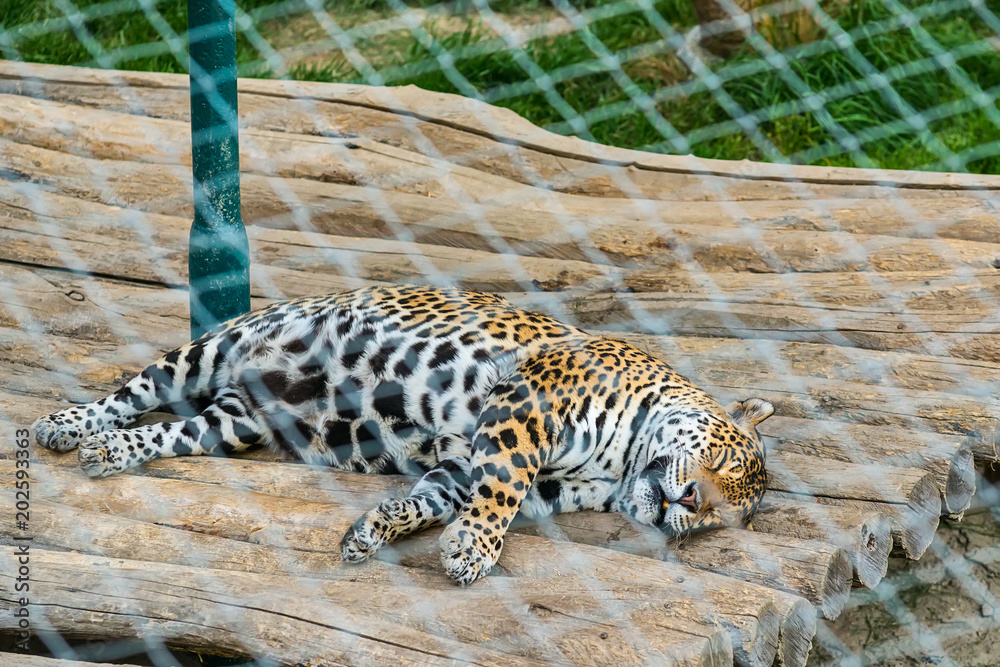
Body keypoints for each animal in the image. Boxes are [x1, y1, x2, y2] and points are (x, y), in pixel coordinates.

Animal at [32, 284, 772, 586]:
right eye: (718, 461)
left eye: (723, 518)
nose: (692, 504)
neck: (617, 472)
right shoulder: (528, 404)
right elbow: (504, 489)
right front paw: (474, 552)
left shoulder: (471, 463)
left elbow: (441, 497)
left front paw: (378, 528)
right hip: (206, 352)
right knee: (132, 394)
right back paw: (67, 427)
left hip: (233, 423)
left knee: (173, 431)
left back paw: (112, 452)